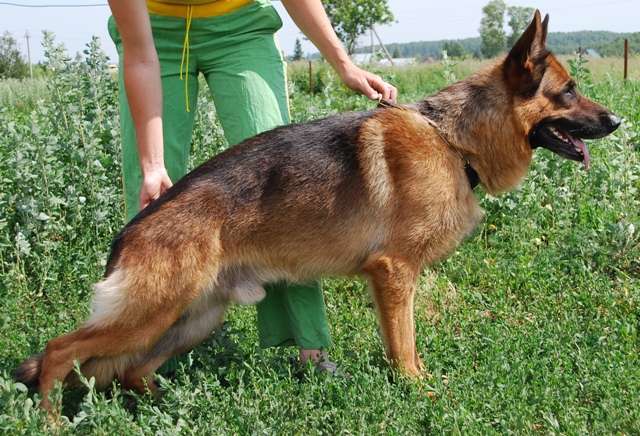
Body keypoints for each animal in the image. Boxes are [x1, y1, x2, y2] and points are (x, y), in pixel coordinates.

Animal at [16, 11, 620, 410]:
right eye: (569, 91)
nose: (617, 120)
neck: (453, 140)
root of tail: (129, 233)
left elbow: (403, 344)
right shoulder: (394, 275)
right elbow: (404, 346)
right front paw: (416, 389)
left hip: (191, 316)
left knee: (130, 371)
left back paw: (171, 403)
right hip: (153, 310)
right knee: (57, 353)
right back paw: (50, 420)